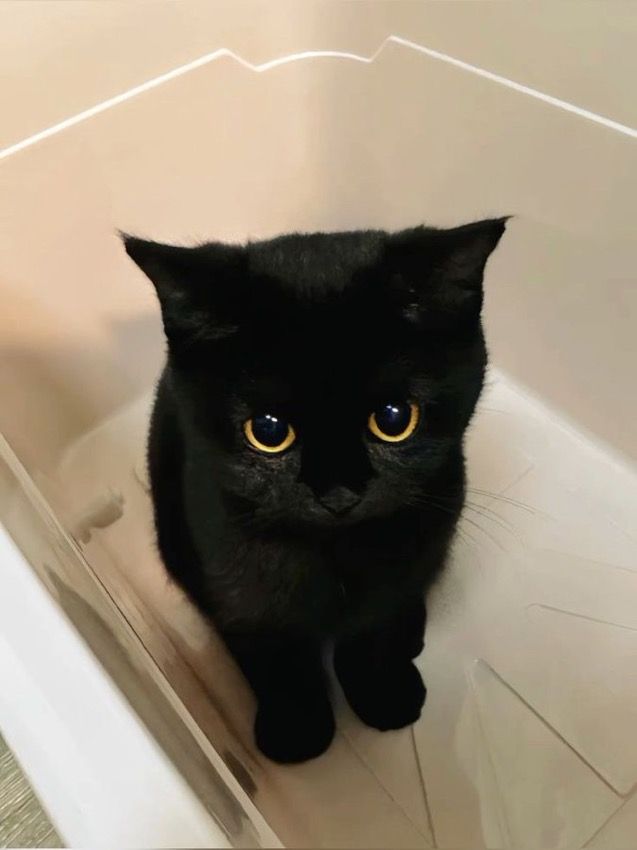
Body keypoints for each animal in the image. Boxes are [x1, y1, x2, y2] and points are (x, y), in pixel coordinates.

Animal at [124, 219, 506, 760]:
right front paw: (297, 729)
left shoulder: (398, 568)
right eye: (267, 431)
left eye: (394, 419)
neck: (334, 555)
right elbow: (273, 652)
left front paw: (385, 692)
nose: (338, 494)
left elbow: (375, 630)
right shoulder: (238, 577)